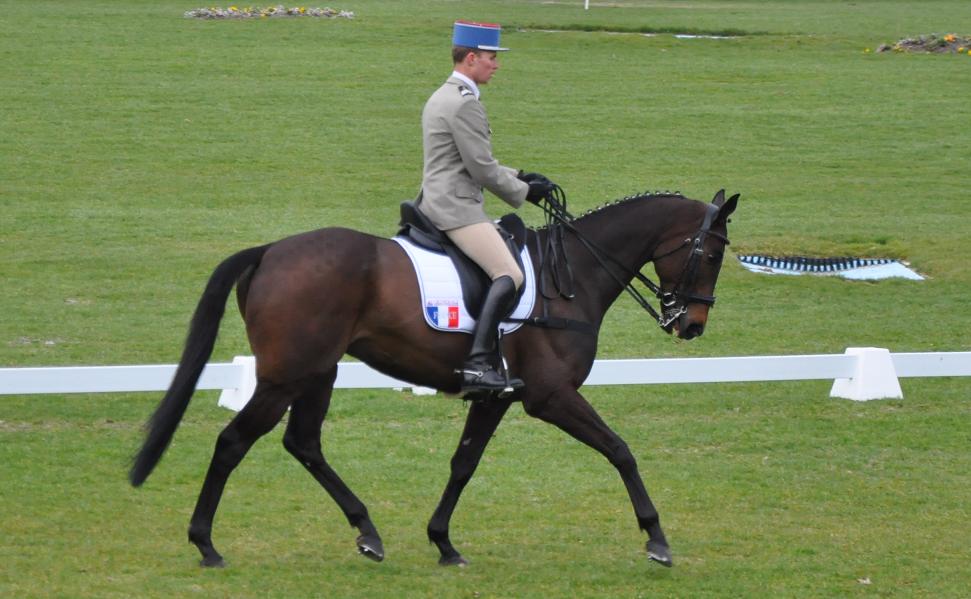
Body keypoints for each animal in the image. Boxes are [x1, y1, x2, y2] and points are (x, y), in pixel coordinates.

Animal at [127, 190, 736, 568]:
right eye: (711, 254)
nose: (692, 325)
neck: (573, 276)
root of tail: (272, 250)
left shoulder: (496, 397)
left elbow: (463, 465)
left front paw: (443, 542)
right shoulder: (551, 396)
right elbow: (620, 450)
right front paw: (656, 539)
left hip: (319, 371)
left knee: (303, 443)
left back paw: (367, 532)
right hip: (285, 378)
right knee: (233, 442)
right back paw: (206, 544)